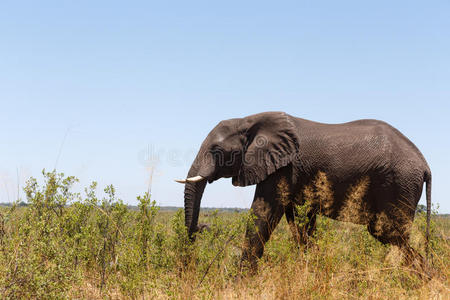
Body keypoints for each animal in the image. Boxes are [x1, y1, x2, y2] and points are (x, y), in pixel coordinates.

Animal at [176, 111, 432, 274]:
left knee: (388, 232)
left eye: (216, 150)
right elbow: (299, 223)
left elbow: (264, 212)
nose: (201, 228)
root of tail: (425, 165)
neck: (248, 120)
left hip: (399, 184)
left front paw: (240, 281)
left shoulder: (283, 167)